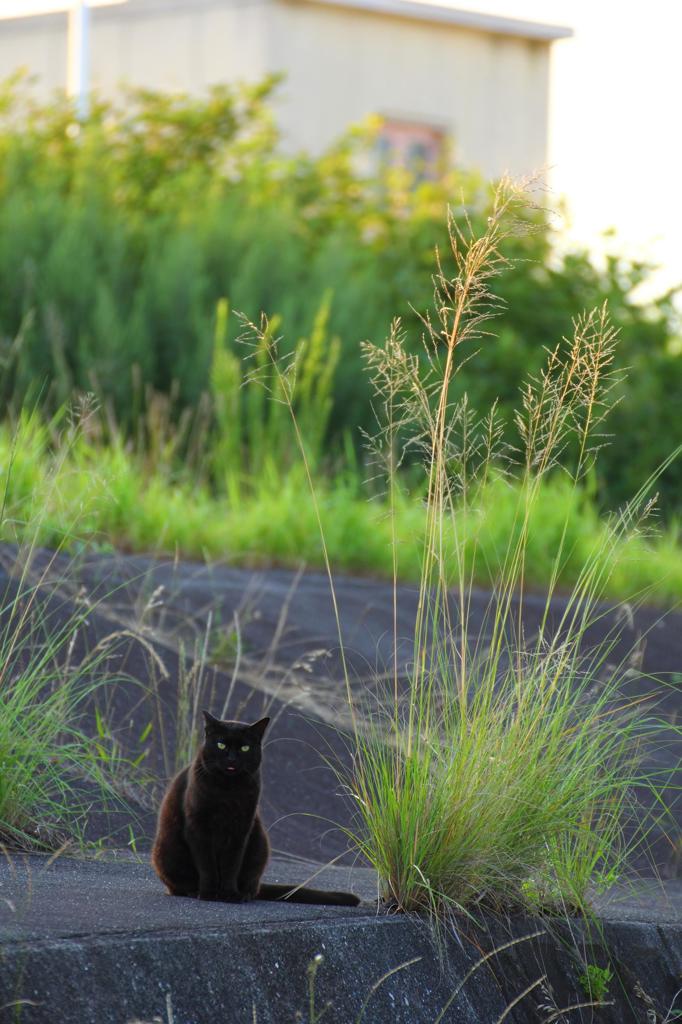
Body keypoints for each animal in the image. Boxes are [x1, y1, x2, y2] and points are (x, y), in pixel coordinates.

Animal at [151, 712, 358, 905]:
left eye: (245, 748)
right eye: (220, 745)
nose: (232, 759)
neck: (227, 790)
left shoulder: (241, 828)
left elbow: (231, 865)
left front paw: (230, 894)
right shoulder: (198, 827)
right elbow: (207, 865)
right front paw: (209, 893)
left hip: (259, 844)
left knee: (250, 884)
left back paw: (244, 894)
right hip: (168, 853)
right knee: (179, 885)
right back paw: (194, 891)